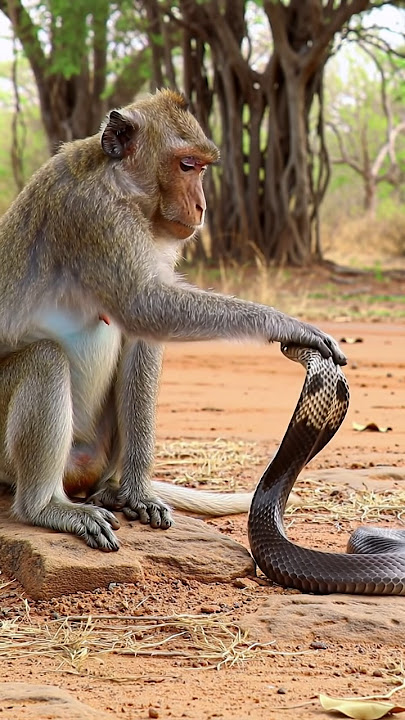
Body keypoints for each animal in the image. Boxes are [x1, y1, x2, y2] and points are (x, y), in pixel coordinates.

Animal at [0, 89, 346, 551]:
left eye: (202, 167)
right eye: (186, 165)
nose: (200, 206)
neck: (121, 184)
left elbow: (142, 334)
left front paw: (139, 494)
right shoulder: (94, 214)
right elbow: (144, 305)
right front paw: (288, 325)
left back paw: (113, 490)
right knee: (45, 359)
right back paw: (46, 507)